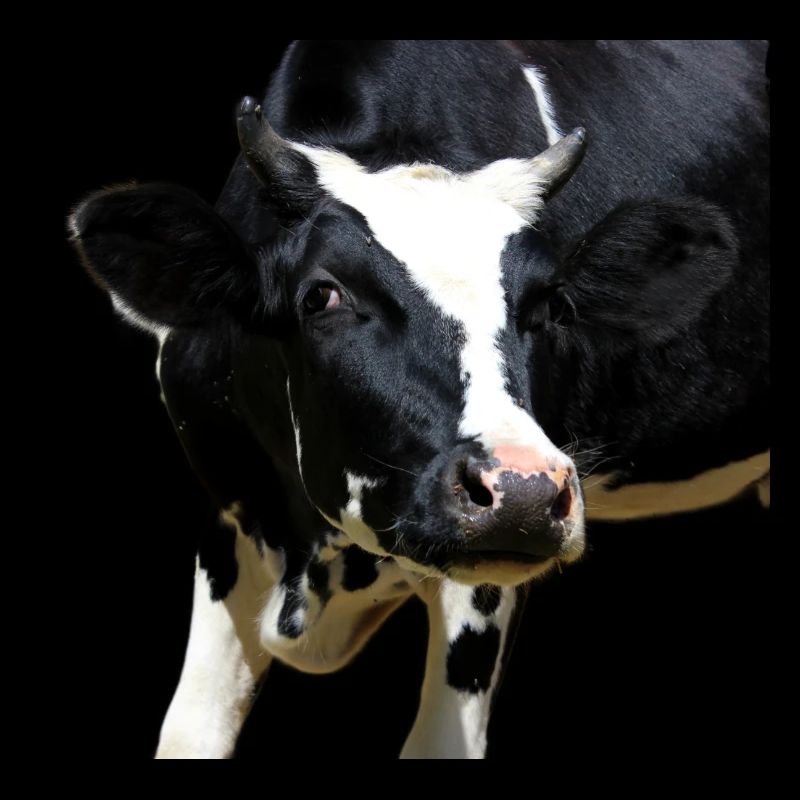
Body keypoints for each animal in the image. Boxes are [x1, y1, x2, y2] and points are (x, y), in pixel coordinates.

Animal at [68, 40, 770, 759]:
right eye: (322, 295)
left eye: (551, 307)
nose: (524, 491)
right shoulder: (230, 513)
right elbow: (190, 728)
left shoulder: (484, 584)